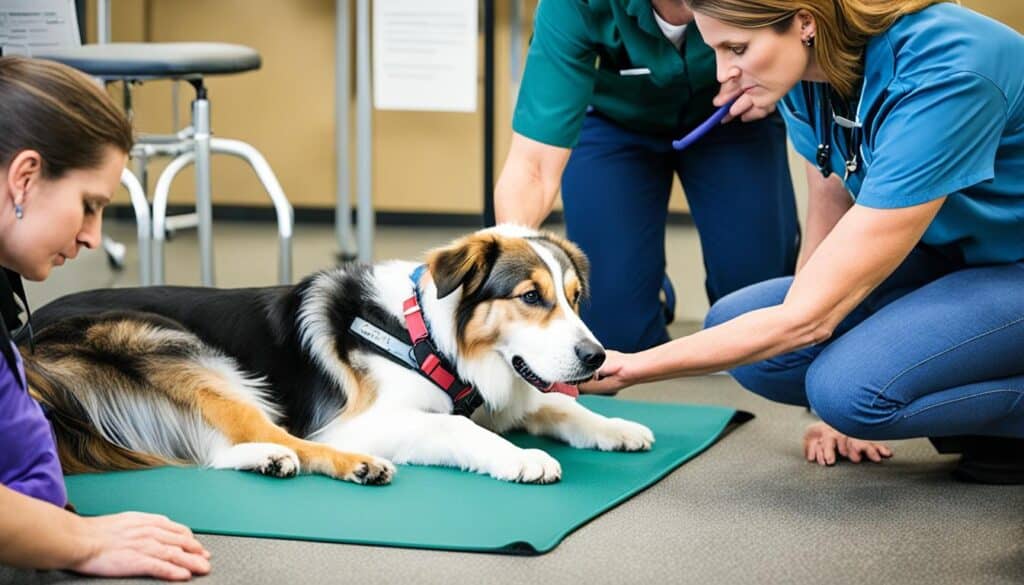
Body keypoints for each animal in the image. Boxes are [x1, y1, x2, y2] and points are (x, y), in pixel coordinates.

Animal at [24, 226, 655, 487]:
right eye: (530, 298)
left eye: (574, 298)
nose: (596, 356)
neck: (425, 335)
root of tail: (22, 343)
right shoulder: (362, 420)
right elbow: (461, 429)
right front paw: (520, 459)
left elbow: (559, 407)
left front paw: (616, 426)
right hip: (183, 353)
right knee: (277, 433)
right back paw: (354, 466)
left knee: (217, 447)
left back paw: (264, 461)